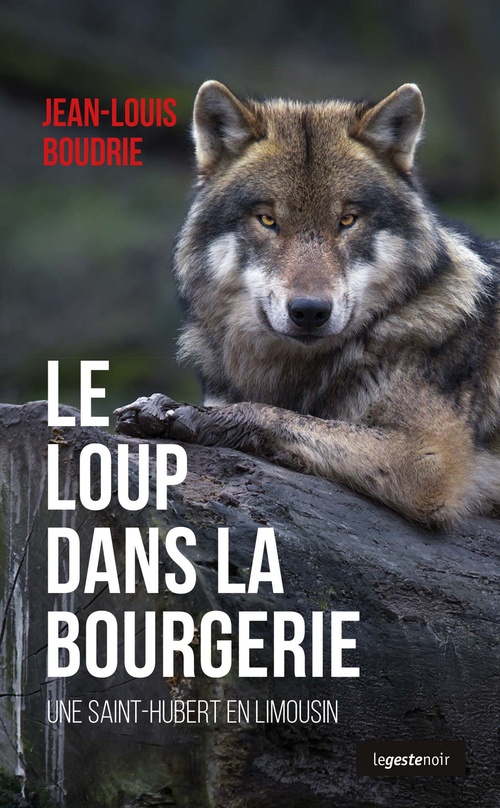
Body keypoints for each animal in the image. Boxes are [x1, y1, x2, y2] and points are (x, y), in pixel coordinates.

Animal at [115, 80, 500, 527]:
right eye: (268, 220)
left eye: (347, 220)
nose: (310, 311)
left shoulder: (428, 460)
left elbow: (280, 416)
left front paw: (194, 417)